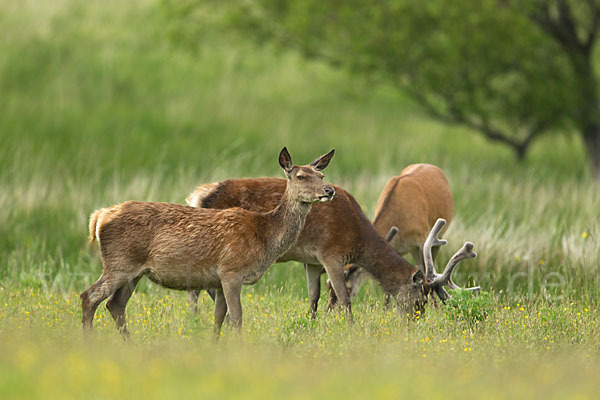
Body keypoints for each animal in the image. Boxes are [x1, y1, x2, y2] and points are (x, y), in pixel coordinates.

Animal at [78, 148, 338, 336]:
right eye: (301, 176)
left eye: (321, 175)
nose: (329, 190)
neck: (264, 236)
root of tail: (99, 217)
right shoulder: (231, 270)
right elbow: (237, 318)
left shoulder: (218, 278)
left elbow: (218, 319)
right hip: (119, 262)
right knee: (89, 297)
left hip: (134, 271)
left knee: (115, 305)